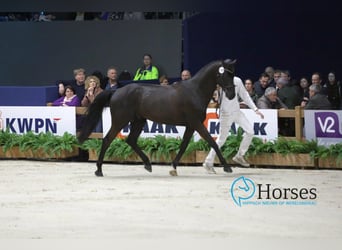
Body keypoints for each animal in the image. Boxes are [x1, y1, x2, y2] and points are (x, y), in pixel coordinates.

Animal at [79, 58, 236, 177]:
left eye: (233, 74)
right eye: (226, 75)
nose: (232, 95)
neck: (195, 91)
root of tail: (116, 91)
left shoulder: (191, 125)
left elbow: (184, 145)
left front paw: (173, 168)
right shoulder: (196, 123)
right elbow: (212, 142)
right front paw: (227, 167)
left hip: (139, 121)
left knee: (131, 140)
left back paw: (148, 164)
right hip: (120, 121)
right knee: (107, 139)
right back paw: (99, 170)